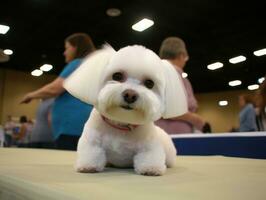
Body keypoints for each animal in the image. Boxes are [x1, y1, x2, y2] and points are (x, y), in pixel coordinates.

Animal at [64, 45, 187, 175]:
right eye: (117, 76)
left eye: (149, 83)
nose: (130, 95)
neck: (121, 124)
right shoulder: (92, 142)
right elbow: (92, 153)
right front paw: (88, 166)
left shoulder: (149, 148)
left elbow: (149, 157)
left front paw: (151, 169)